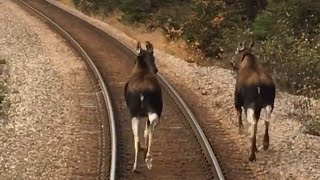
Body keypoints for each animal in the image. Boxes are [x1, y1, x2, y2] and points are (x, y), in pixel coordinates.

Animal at [123, 40, 162, 172]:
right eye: (154, 57)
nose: (156, 69)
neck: (142, 69)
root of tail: (142, 93)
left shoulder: (139, 114)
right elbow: (147, 130)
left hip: (134, 113)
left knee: (136, 138)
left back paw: (135, 165)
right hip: (154, 110)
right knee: (149, 128)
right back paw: (148, 158)